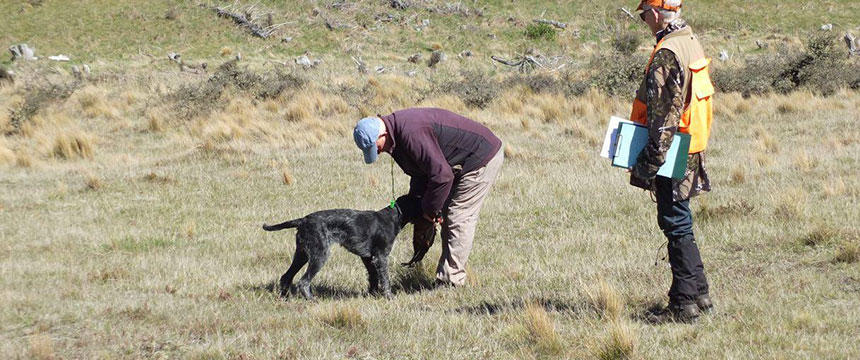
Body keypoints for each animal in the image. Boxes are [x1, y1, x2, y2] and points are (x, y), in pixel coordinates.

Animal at [260, 195, 424, 300]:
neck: (393, 217)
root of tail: (303, 220)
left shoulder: (367, 258)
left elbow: (373, 278)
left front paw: (372, 295)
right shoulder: (381, 257)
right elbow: (385, 280)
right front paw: (389, 297)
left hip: (302, 254)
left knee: (286, 276)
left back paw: (284, 298)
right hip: (319, 255)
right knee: (303, 282)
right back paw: (311, 300)